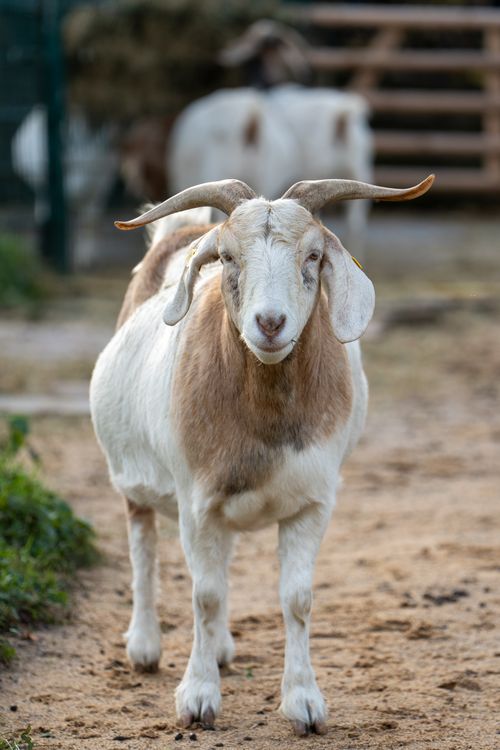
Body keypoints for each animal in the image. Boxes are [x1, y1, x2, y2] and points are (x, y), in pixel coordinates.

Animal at [90, 175, 434, 735]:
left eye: (313, 254)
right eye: (229, 257)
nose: (269, 323)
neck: (264, 422)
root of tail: (182, 232)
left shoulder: (311, 503)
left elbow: (296, 599)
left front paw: (304, 702)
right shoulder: (195, 503)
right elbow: (204, 595)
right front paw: (198, 698)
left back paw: (221, 648)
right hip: (132, 477)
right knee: (142, 543)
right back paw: (143, 646)